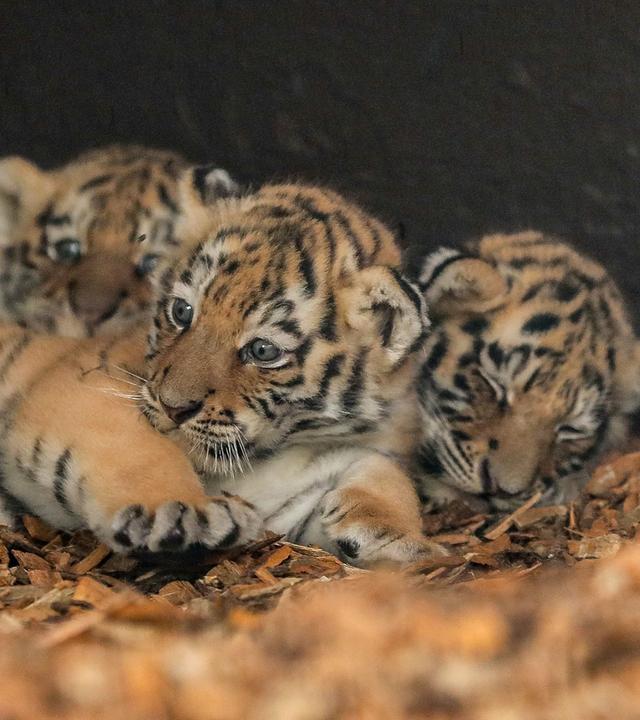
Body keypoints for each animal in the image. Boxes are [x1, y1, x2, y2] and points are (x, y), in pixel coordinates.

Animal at [0, 172, 444, 566]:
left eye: (262, 350)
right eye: (182, 312)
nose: (173, 406)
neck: (257, 458)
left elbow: (385, 470)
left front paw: (396, 538)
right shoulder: (85, 387)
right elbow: (141, 446)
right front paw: (181, 511)